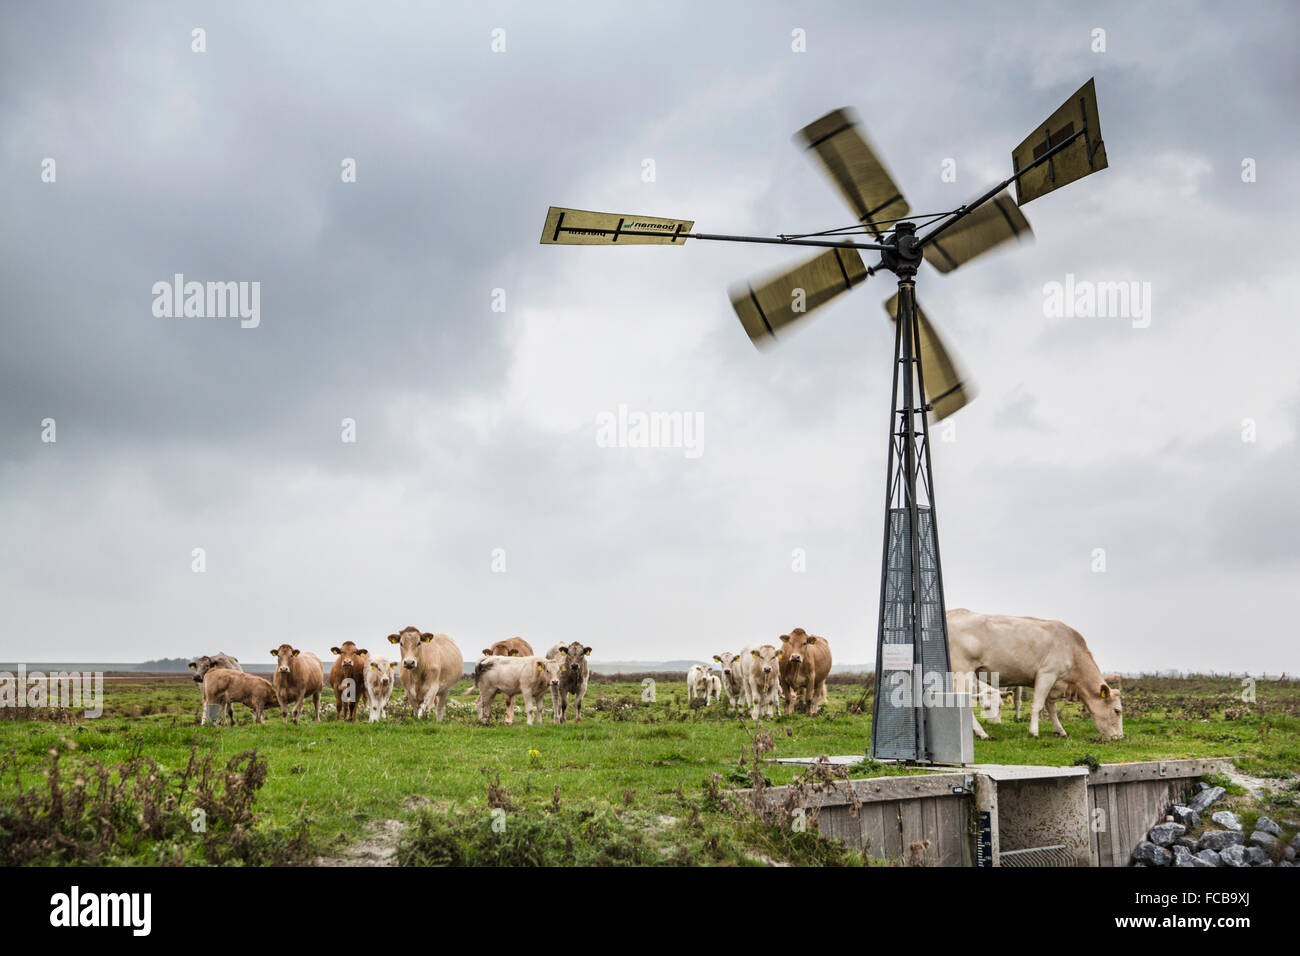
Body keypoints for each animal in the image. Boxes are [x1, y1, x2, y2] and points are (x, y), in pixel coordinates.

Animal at [951, 608, 1123, 743]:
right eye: (1117, 710)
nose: (1120, 737)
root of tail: (954, 613)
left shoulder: (1056, 683)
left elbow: (1051, 707)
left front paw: (1059, 730)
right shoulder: (1047, 674)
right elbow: (1038, 705)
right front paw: (1034, 732)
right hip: (963, 672)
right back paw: (982, 734)